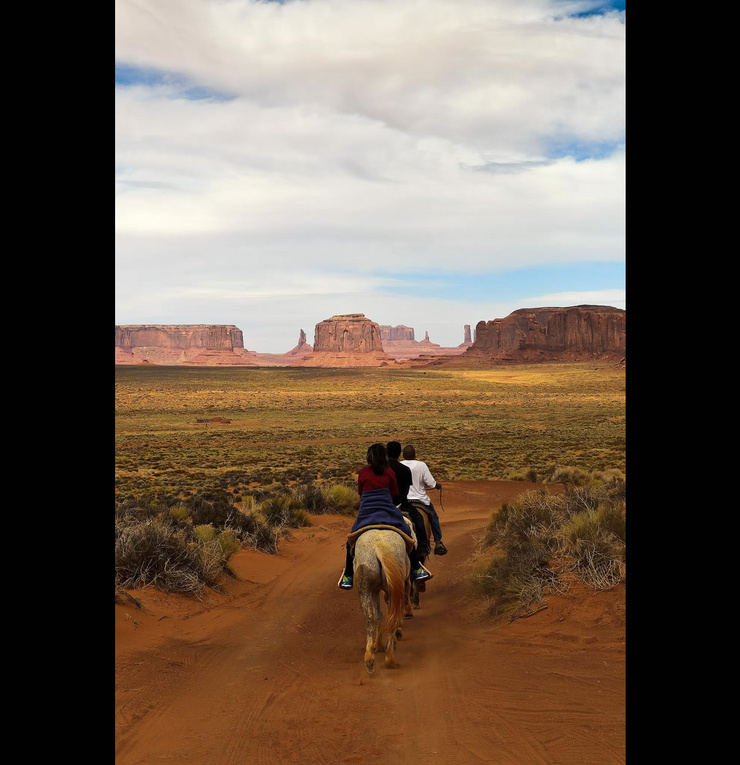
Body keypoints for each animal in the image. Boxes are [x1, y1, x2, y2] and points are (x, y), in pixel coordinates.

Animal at [354, 528, 414, 672]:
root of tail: (378, 546)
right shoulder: (403, 581)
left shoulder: (376, 590)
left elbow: (379, 614)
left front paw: (379, 644)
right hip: (392, 585)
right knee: (391, 616)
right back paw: (389, 657)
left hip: (366, 586)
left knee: (370, 617)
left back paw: (370, 659)